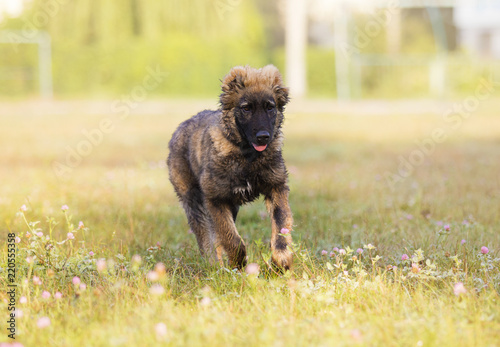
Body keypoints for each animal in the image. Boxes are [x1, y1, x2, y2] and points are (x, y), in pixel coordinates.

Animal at [168, 66, 292, 272]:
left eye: (270, 107)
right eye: (246, 108)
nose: (263, 137)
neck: (248, 157)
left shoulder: (276, 187)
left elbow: (281, 227)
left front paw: (281, 261)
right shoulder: (215, 199)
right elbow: (231, 238)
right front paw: (238, 265)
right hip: (194, 202)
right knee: (206, 239)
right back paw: (214, 267)